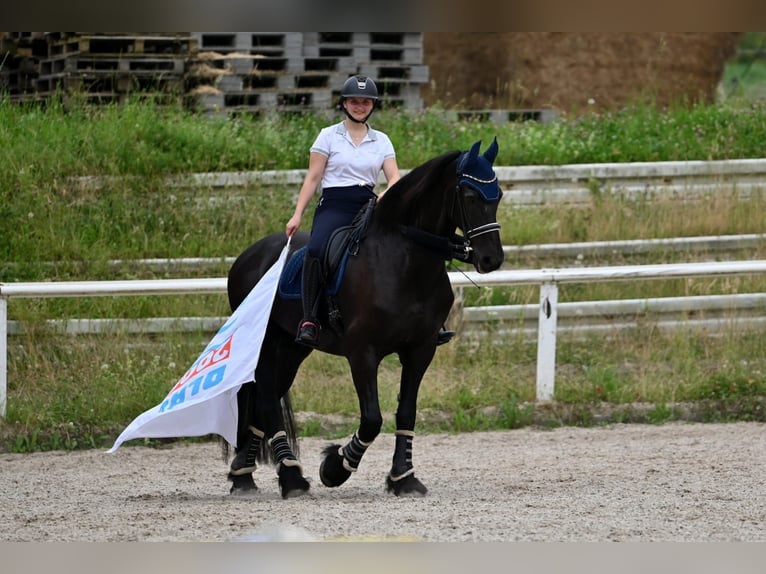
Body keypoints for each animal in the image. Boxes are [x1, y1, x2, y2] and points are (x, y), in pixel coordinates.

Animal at [225, 140, 508, 500]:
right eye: (470, 195)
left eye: (497, 195)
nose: (491, 259)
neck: (404, 260)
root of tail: (247, 257)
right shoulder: (363, 352)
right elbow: (372, 418)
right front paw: (335, 468)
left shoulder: (421, 349)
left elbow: (407, 411)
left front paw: (404, 478)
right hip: (266, 345)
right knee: (265, 400)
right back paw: (291, 479)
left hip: (291, 348)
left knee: (268, 397)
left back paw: (244, 476)